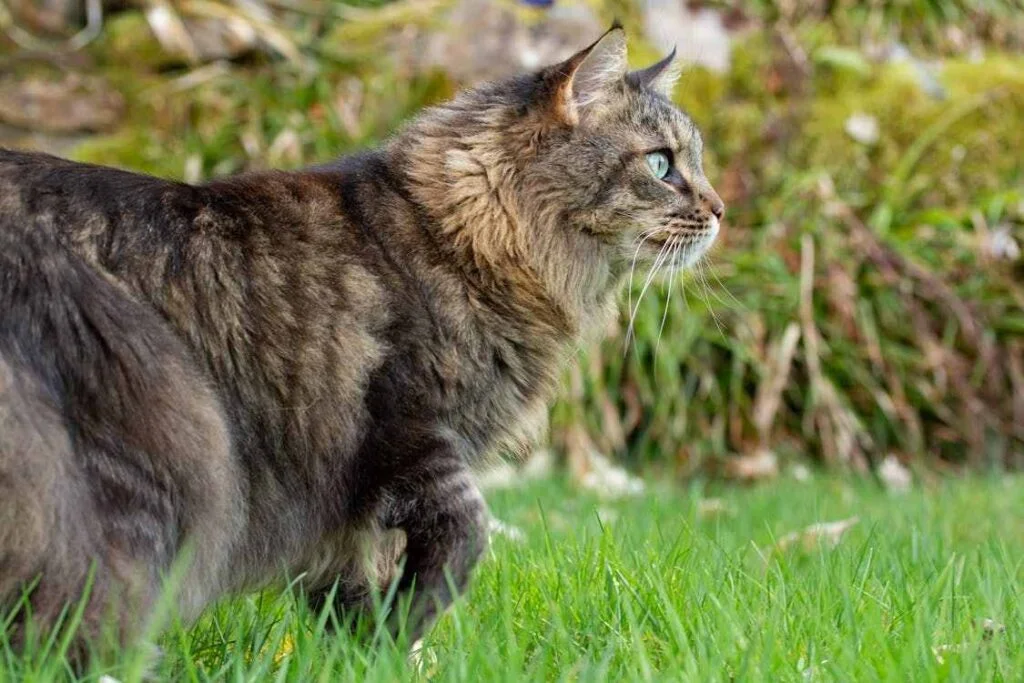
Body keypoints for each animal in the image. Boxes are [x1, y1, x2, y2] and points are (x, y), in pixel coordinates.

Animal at [0, 26, 720, 663]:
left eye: (697, 163)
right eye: (661, 165)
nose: (720, 210)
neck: (455, 240)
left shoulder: (355, 502)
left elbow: (349, 593)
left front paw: (365, 654)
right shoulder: (410, 430)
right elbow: (463, 542)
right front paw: (399, 638)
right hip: (169, 434)